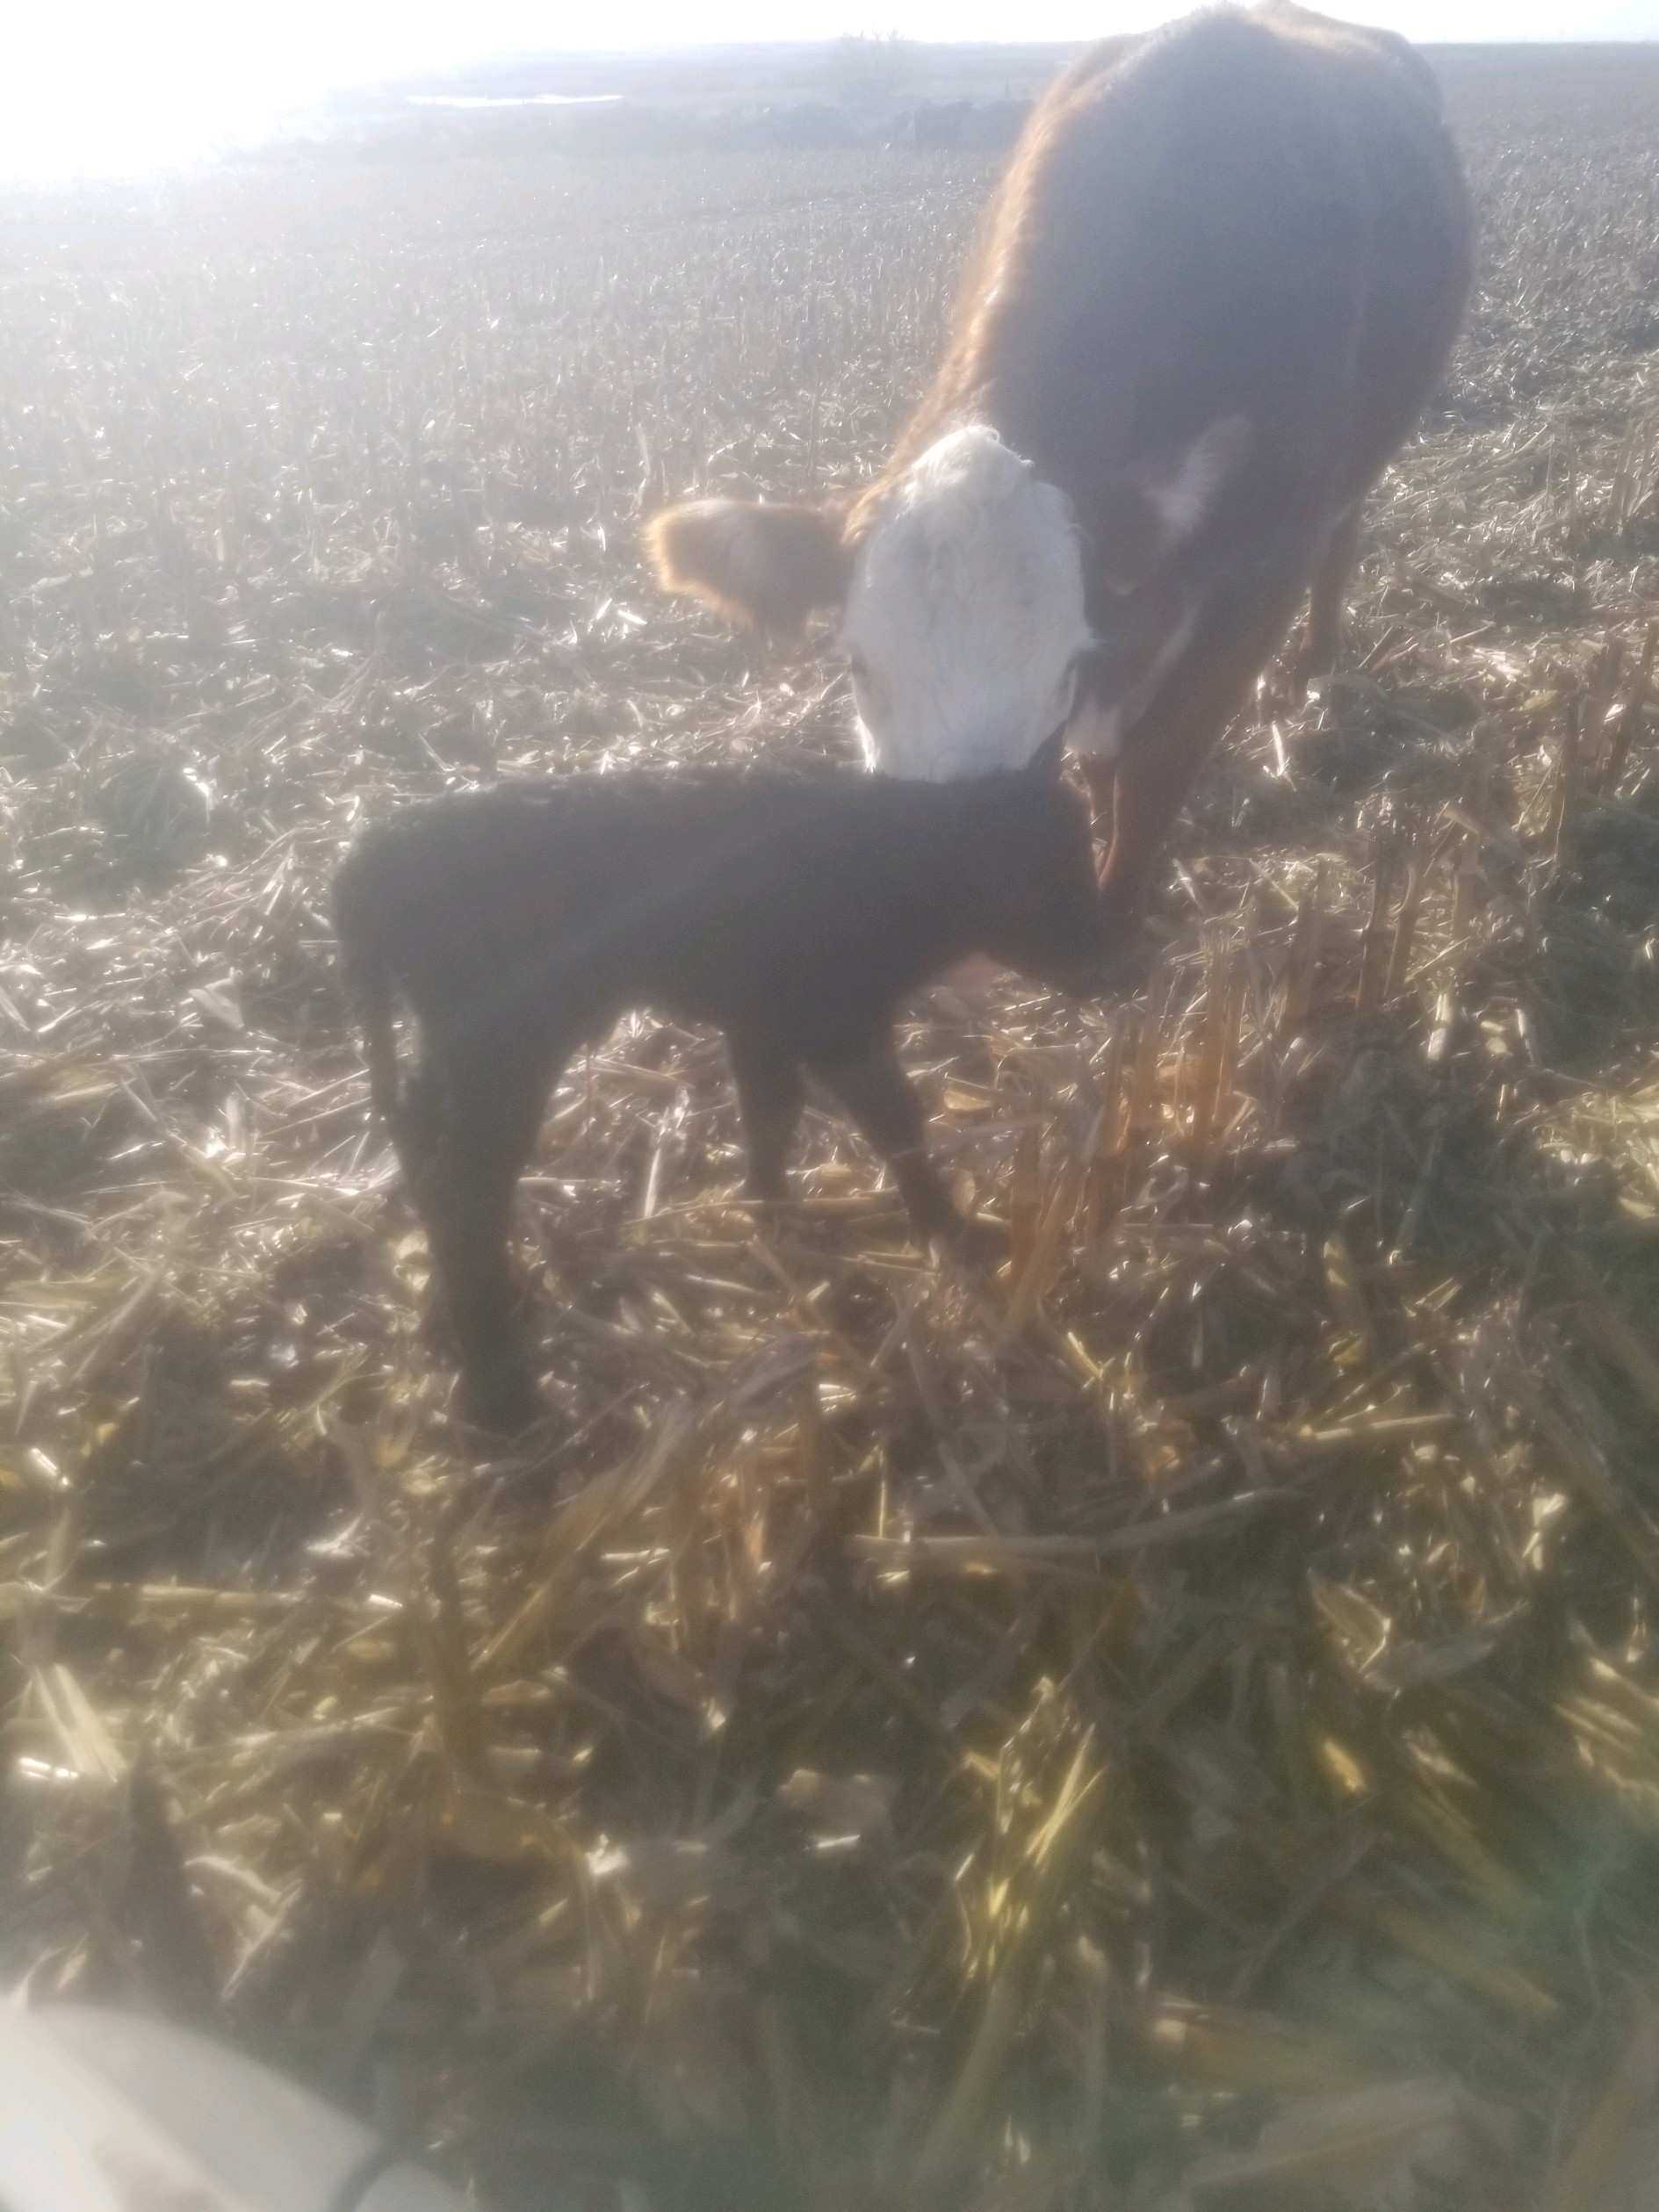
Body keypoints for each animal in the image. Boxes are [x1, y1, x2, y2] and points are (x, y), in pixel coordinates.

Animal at [333, 754, 1111, 1432]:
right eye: (1037, 882)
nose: (1111, 961)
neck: (887, 871)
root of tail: (375, 851)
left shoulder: (759, 1016)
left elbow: (769, 1111)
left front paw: (768, 1221)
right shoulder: (832, 1017)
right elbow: (894, 1117)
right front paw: (951, 1229)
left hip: (452, 1044)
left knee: (425, 1148)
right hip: (499, 1044)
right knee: (464, 1190)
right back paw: (502, 1397)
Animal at [646, 2, 1474, 977]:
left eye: (1060, 666)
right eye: (855, 663)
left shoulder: (1257, 571)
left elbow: (1156, 759)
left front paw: (1112, 925)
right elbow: (1103, 759)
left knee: (1343, 543)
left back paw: (1313, 673)